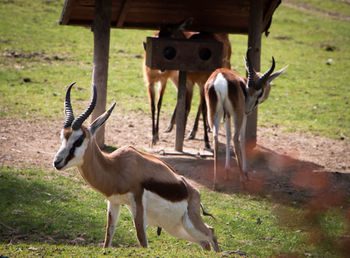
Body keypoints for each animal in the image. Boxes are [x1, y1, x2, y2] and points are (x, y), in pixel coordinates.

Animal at [52, 83, 219, 252]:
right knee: (205, 241)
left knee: (211, 233)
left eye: (79, 140)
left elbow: (142, 239)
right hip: (177, 228)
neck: (116, 168)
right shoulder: (114, 202)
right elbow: (108, 234)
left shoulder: (137, 203)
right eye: (62, 137)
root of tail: (194, 192)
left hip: (189, 224)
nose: (57, 162)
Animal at [205, 49, 288, 188]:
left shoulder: (227, 115)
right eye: (250, 89)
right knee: (235, 138)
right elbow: (242, 140)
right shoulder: (242, 116)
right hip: (238, 115)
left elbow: (227, 137)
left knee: (216, 136)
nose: (248, 108)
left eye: (259, 91)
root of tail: (220, 78)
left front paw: (227, 171)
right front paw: (245, 172)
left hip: (214, 113)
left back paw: (216, 182)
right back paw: (242, 179)